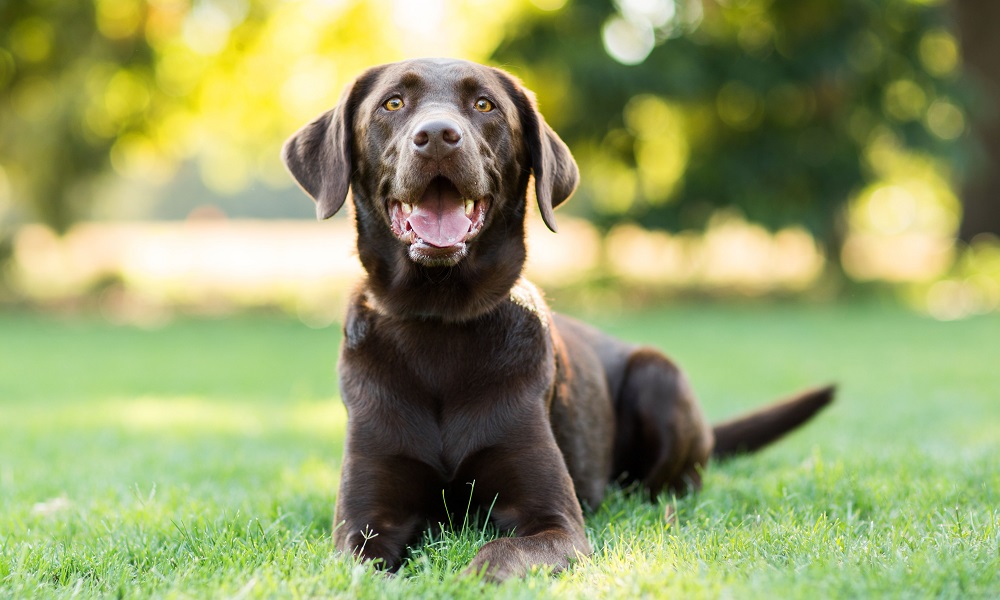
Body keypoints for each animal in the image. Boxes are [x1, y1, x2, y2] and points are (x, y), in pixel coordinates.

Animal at [280, 57, 828, 580]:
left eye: (484, 105)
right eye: (392, 103)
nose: (437, 135)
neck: (438, 320)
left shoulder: (555, 521)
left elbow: (498, 554)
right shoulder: (364, 524)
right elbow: (363, 571)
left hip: (659, 376)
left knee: (676, 486)